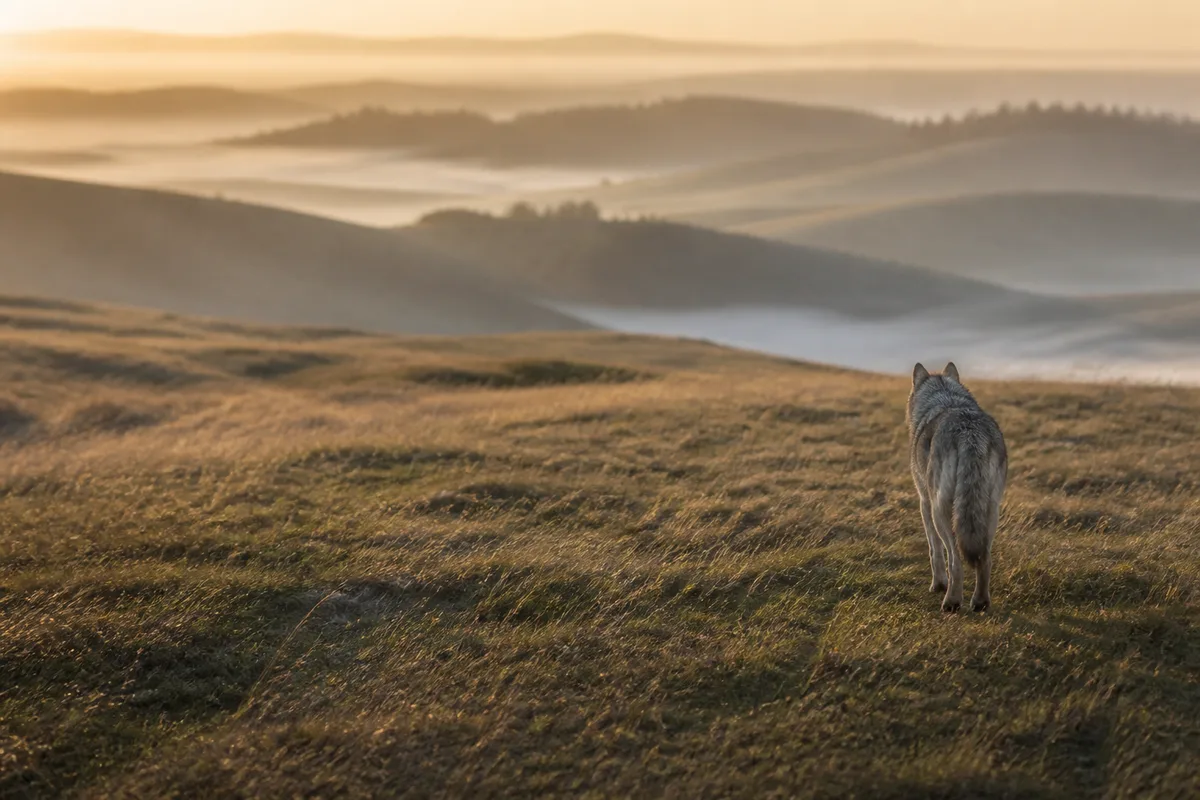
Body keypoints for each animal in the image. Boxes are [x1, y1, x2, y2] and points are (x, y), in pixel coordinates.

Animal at [907, 362, 1007, 612]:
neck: (945, 398)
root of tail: (969, 431)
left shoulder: (924, 502)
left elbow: (934, 550)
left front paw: (938, 584)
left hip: (940, 511)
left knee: (955, 558)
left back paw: (951, 601)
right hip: (990, 511)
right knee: (985, 558)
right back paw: (980, 602)